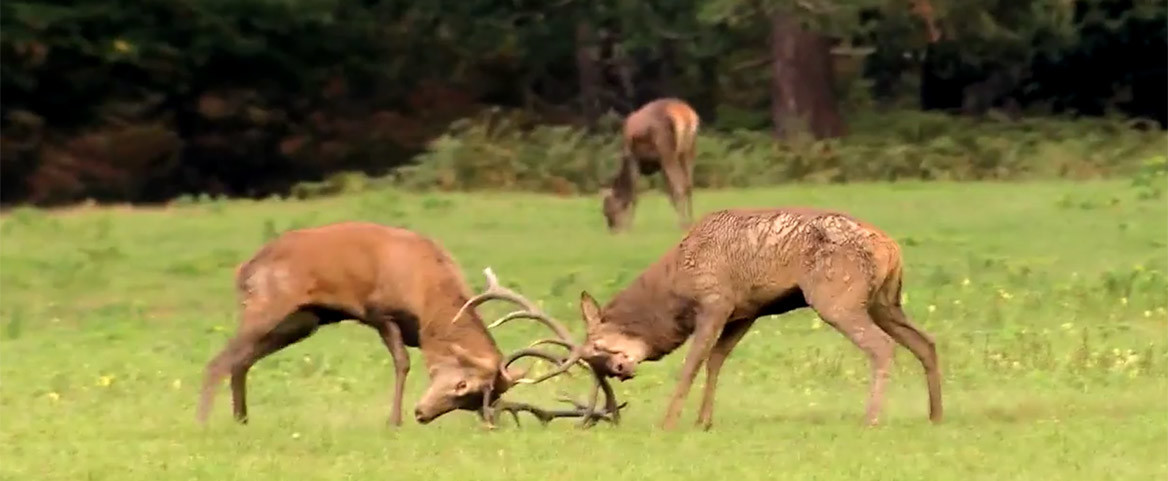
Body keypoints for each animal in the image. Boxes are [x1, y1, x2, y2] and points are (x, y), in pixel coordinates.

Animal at [197, 221, 621, 427]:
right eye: (463, 385)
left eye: (473, 401)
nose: (423, 414)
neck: (426, 295)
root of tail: (244, 270)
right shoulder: (380, 311)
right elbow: (401, 362)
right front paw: (394, 420)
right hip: (268, 304)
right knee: (218, 361)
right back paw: (204, 423)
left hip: (302, 320)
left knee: (241, 361)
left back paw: (241, 419)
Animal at [520, 208, 939, 429]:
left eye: (597, 346)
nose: (621, 370)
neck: (674, 291)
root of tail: (891, 247)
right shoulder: (745, 312)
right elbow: (717, 359)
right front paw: (703, 420)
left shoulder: (715, 302)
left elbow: (692, 362)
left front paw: (669, 421)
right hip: (886, 301)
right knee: (926, 343)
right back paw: (935, 414)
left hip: (838, 298)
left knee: (881, 346)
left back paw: (872, 417)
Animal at [602, 96, 700, 232]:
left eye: (607, 211)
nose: (612, 229)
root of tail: (686, 115)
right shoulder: (660, 165)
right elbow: (669, 191)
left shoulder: (634, 158)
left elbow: (634, 194)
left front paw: (629, 226)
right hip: (688, 150)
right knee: (689, 184)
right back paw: (691, 221)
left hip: (667, 151)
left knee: (680, 185)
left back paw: (682, 224)